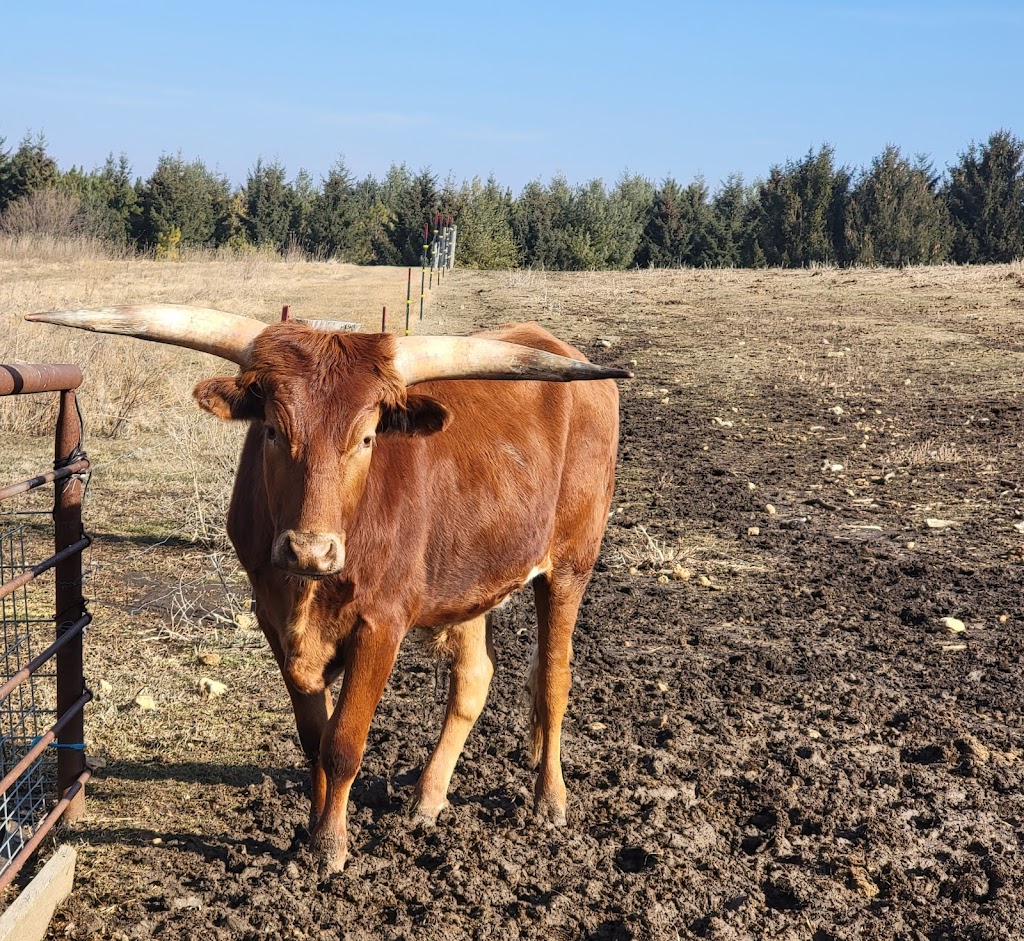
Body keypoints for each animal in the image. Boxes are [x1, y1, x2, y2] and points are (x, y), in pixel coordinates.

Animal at [24, 307, 626, 876]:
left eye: (366, 437)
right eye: (271, 431)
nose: (310, 551)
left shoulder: (381, 626)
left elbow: (342, 744)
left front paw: (330, 847)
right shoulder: (273, 621)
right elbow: (314, 737)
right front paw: (314, 827)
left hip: (571, 566)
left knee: (554, 678)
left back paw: (550, 801)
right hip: (471, 578)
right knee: (474, 679)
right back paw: (427, 800)